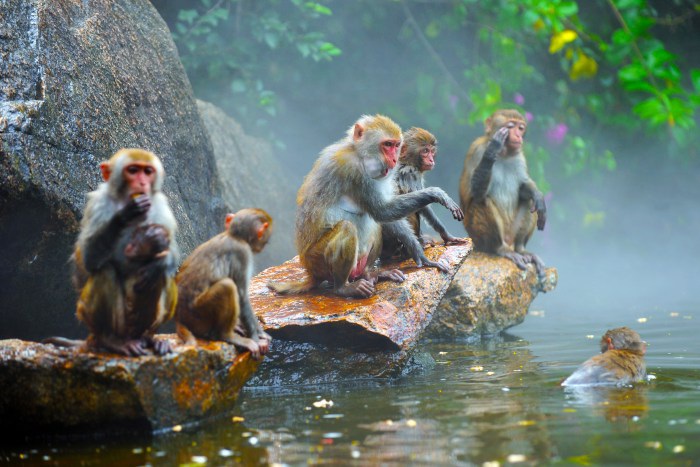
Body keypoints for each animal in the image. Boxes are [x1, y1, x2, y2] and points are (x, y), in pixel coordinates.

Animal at [55, 148, 180, 356]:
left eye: (147, 172)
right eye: (133, 170)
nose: (142, 183)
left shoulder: (161, 207)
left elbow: (171, 253)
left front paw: (159, 261)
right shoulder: (98, 204)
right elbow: (88, 258)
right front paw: (125, 215)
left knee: (162, 277)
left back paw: (149, 337)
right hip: (93, 317)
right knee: (105, 271)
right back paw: (111, 340)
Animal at [382, 128, 464, 260]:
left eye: (431, 151)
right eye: (425, 151)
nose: (431, 159)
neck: (406, 161)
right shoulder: (411, 174)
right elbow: (422, 205)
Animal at [456, 109, 548, 274]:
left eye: (520, 128)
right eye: (510, 126)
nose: (518, 136)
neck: (505, 154)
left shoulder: (520, 157)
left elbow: (524, 189)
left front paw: (537, 195)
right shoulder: (476, 150)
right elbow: (477, 193)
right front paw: (493, 148)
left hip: (512, 232)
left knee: (530, 202)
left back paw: (521, 249)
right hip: (477, 238)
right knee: (482, 201)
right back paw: (500, 249)